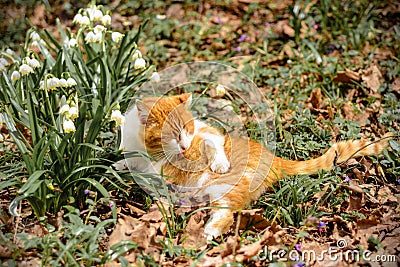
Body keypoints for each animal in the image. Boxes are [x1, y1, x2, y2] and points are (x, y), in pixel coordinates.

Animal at [122, 93, 390, 240]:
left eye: (187, 130)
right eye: (173, 135)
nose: (186, 147)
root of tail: (275, 158)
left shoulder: (207, 133)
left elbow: (212, 142)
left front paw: (218, 161)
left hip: (222, 187)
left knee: (227, 213)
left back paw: (208, 232)